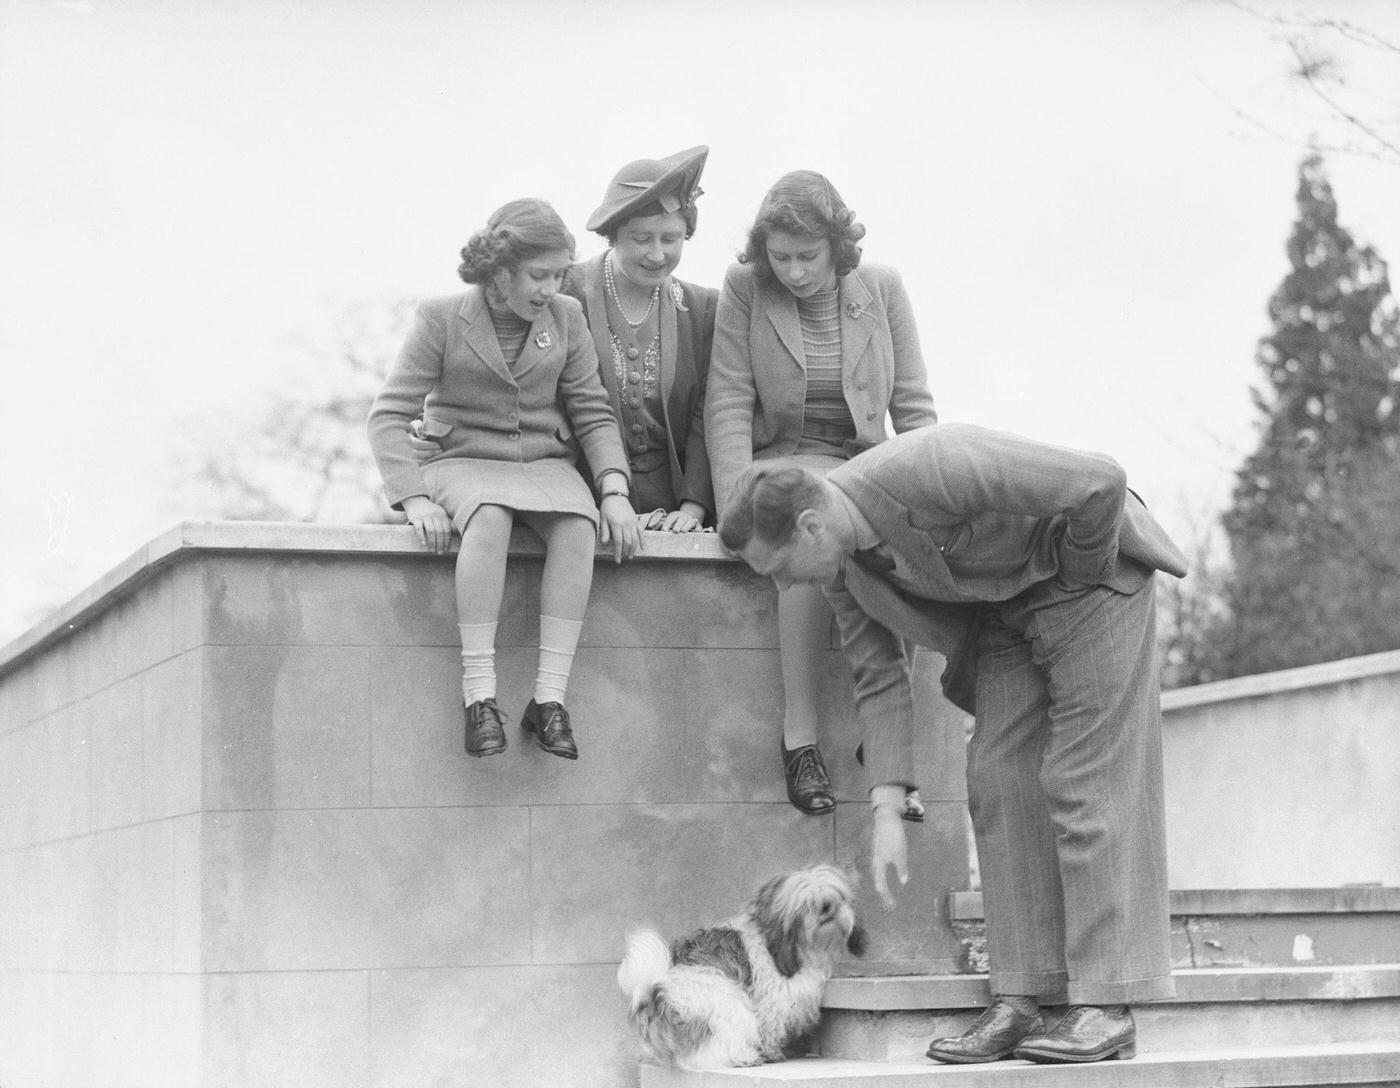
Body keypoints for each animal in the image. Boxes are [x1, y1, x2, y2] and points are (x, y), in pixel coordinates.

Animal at [616, 868, 862, 1069]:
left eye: (835, 894)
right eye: (805, 901)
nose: (826, 906)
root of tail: (657, 995)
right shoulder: (773, 999)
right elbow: (771, 1027)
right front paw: (773, 1053)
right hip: (728, 1005)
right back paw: (745, 1057)